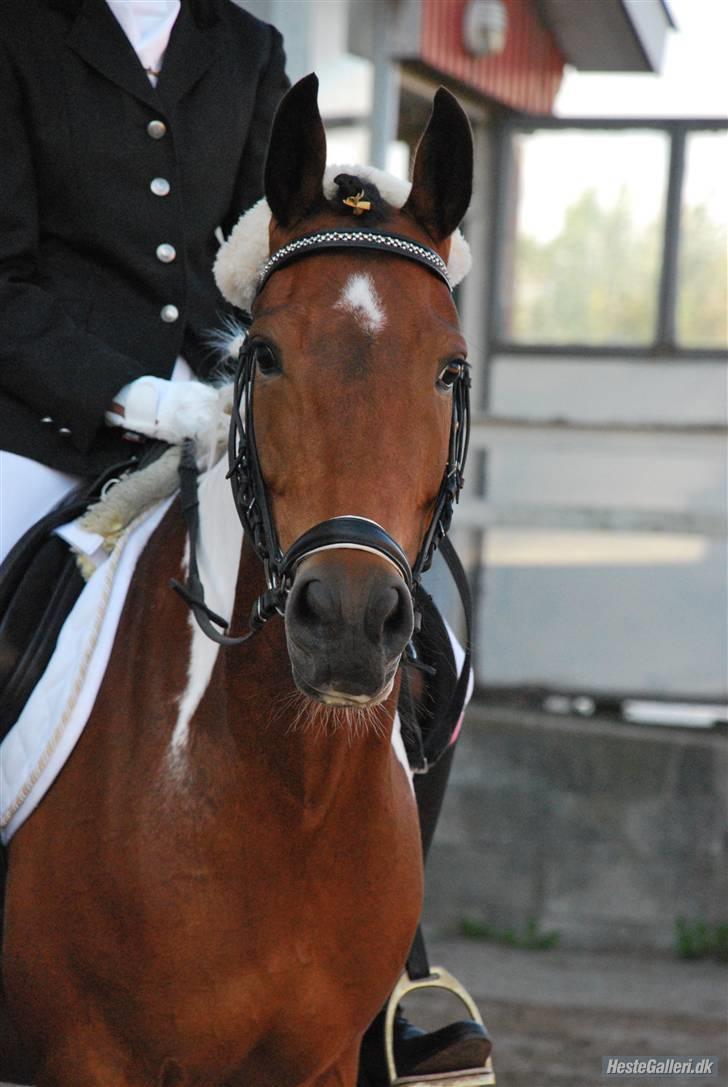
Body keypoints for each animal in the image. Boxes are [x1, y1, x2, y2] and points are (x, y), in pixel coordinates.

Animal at [0, 73, 473, 1086]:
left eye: (450, 370)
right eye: (266, 354)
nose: (347, 622)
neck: (291, 791)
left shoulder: (321, 1062)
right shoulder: (91, 1058)